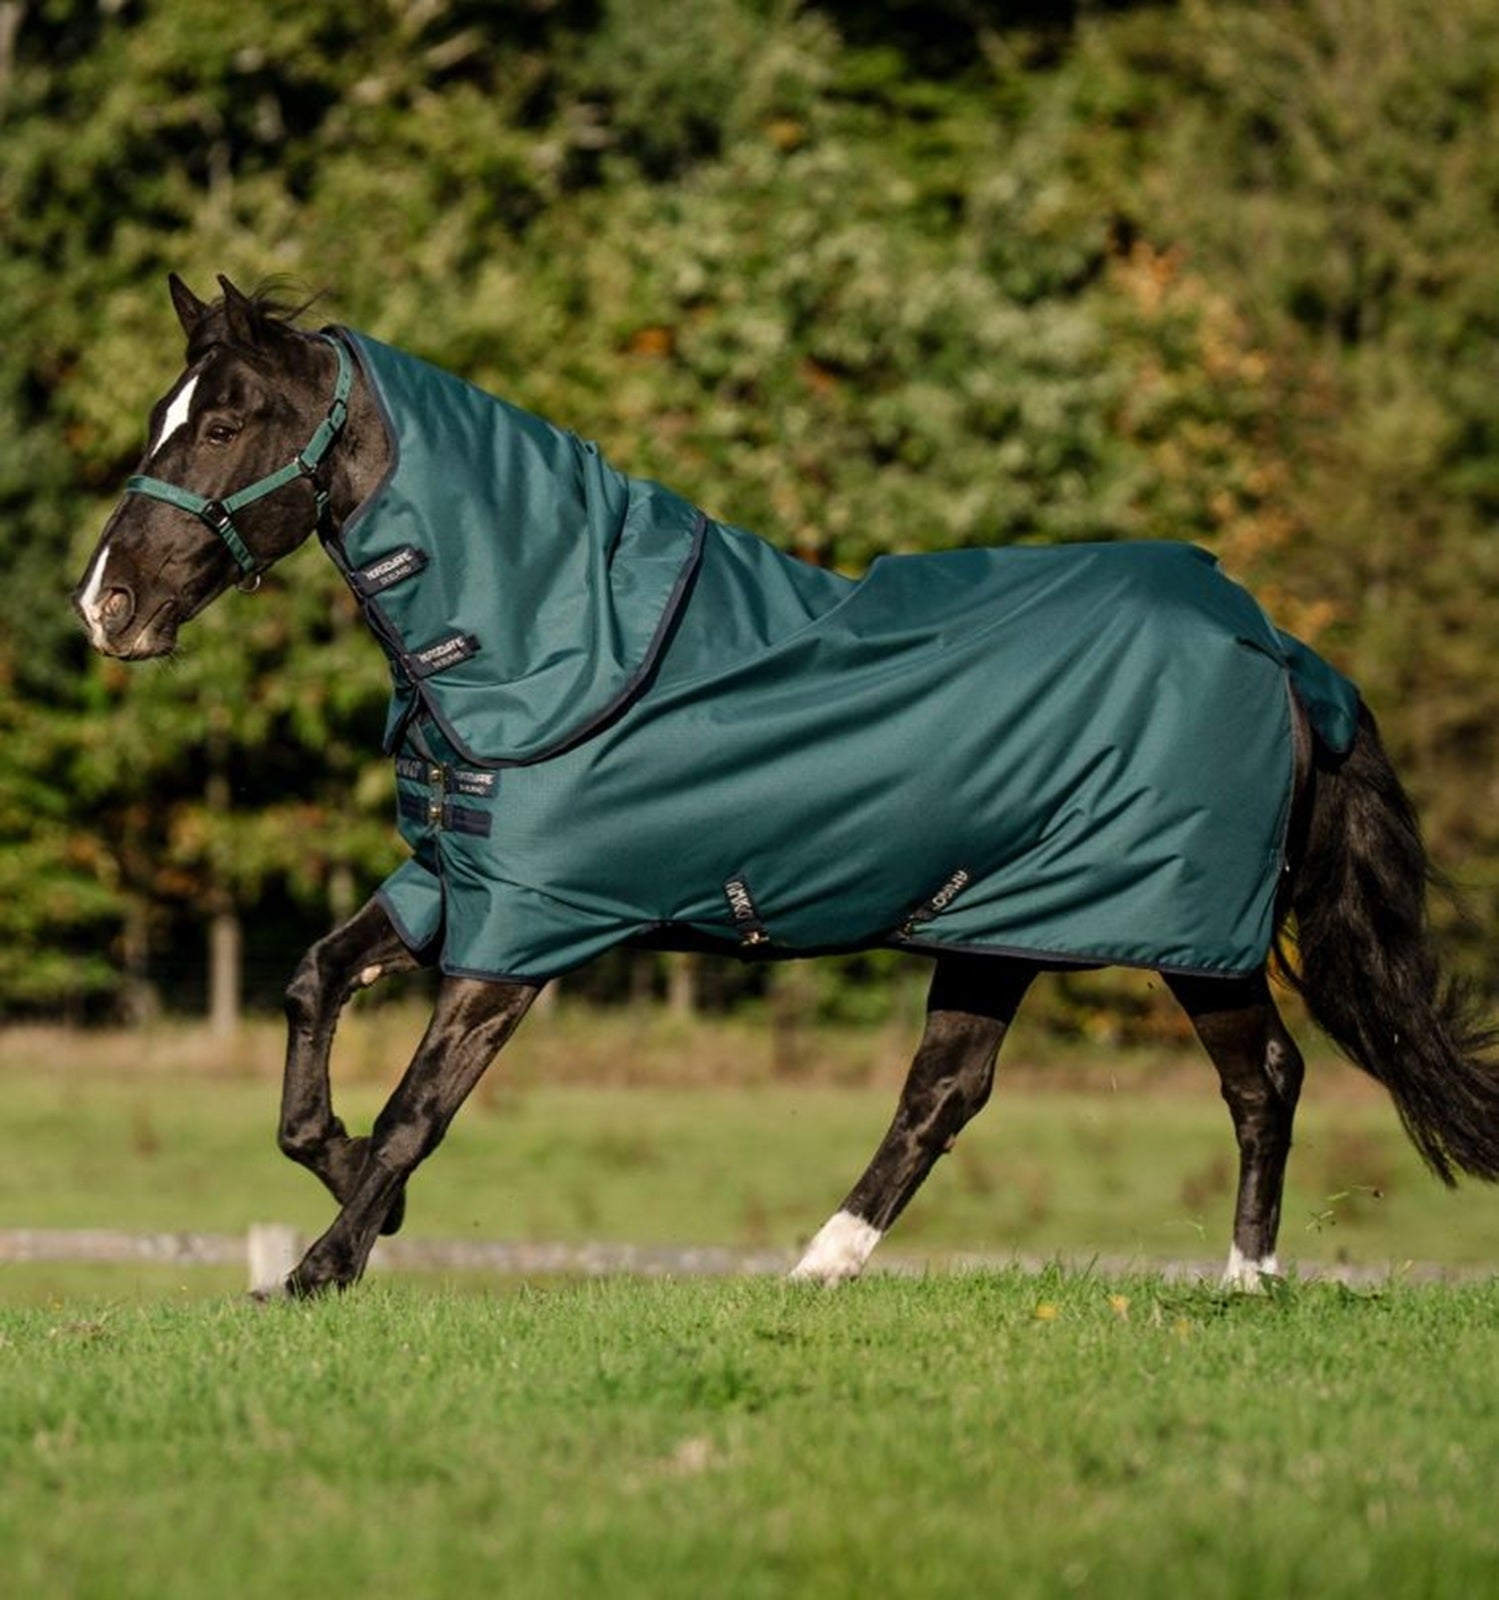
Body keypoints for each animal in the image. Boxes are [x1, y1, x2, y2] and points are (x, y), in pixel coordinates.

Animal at [74, 275, 1499, 1298]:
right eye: (162, 417)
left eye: (221, 422)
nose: (106, 605)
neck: (552, 636)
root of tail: (1276, 645)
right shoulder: (449, 883)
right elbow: (312, 990)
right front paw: (349, 1186)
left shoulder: (525, 929)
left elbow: (422, 1105)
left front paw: (324, 1267)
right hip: (996, 922)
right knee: (943, 1093)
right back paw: (818, 1268)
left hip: (1185, 931)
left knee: (1263, 1076)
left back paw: (1246, 1280)